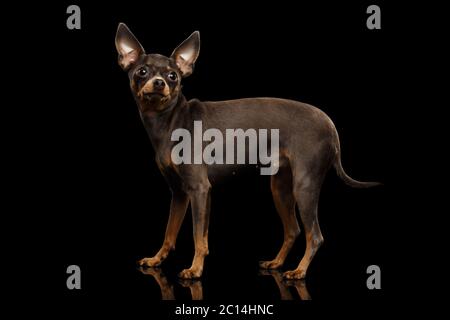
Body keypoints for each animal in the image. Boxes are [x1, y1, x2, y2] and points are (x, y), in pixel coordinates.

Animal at [115, 22, 380, 278]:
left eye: (173, 76)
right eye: (142, 71)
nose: (159, 83)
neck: (169, 122)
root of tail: (330, 125)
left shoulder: (200, 190)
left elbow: (199, 237)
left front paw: (195, 269)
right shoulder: (179, 192)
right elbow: (170, 232)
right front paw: (156, 259)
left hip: (304, 186)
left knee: (314, 236)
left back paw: (299, 271)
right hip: (280, 187)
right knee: (293, 230)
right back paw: (276, 262)